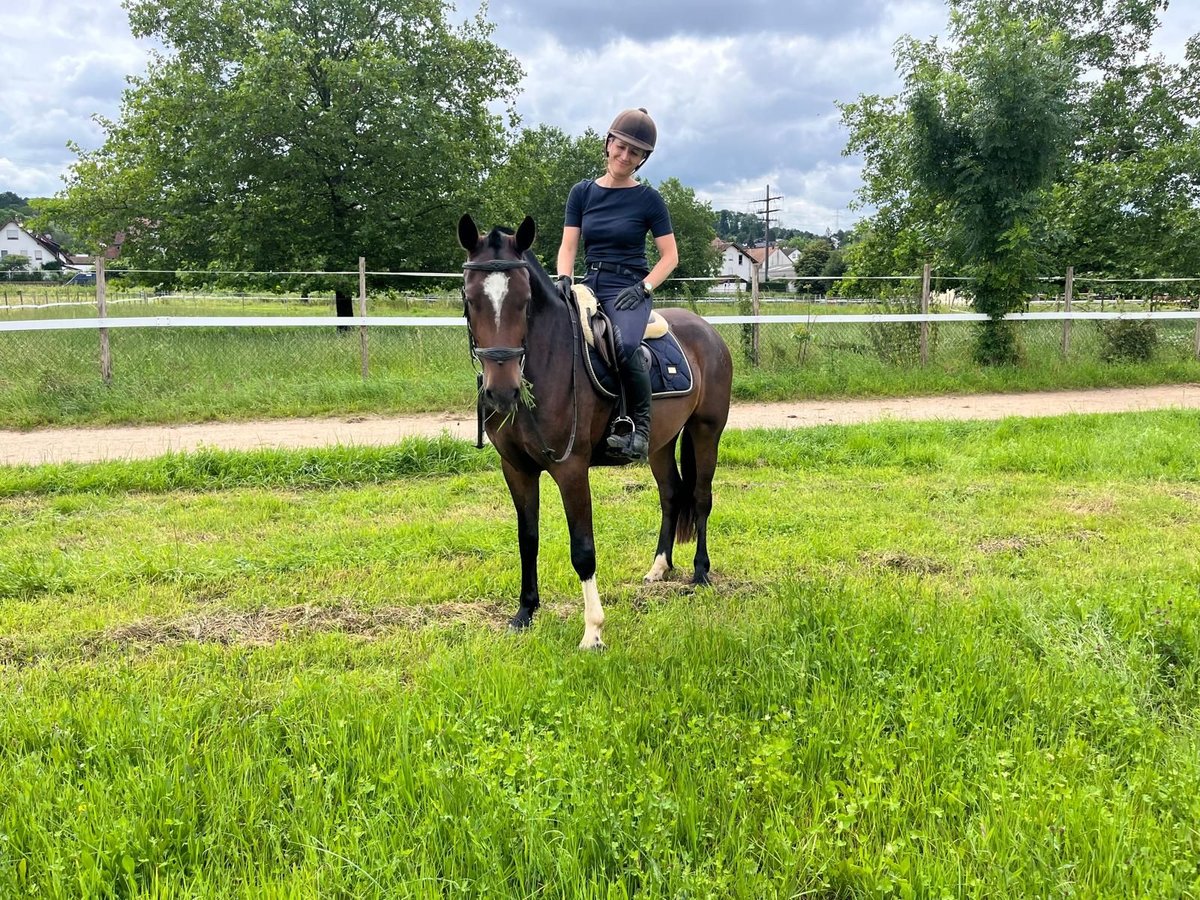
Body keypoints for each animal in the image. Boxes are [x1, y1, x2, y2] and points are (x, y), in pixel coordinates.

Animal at [456, 214, 729, 652]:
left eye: (525, 301)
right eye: (469, 299)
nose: (502, 392)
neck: (547, 363)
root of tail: (708, 332)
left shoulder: (571, 469)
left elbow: (583, 549)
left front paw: (593, 631)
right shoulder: (516, 468)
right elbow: (527, 539)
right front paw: (525, 613)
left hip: (707, 430)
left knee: (701, 498)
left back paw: (700, 574)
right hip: (660, 443)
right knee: (671, 495)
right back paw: (659, 568)